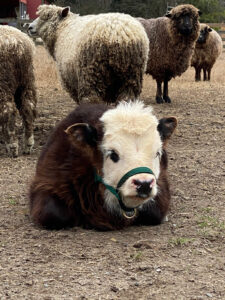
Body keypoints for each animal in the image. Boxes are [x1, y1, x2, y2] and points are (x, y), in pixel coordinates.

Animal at [0, 25, 37, 157]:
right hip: (27, 81)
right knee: (28, 108)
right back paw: (28, 145)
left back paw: (12, 146)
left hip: (4, 83)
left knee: (8, 110)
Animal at [29, 101, 178, 230]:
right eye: (113, 154)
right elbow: (54, 215)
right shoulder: (46, 182)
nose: (144, 184)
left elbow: (155, 213)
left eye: (157, 153)